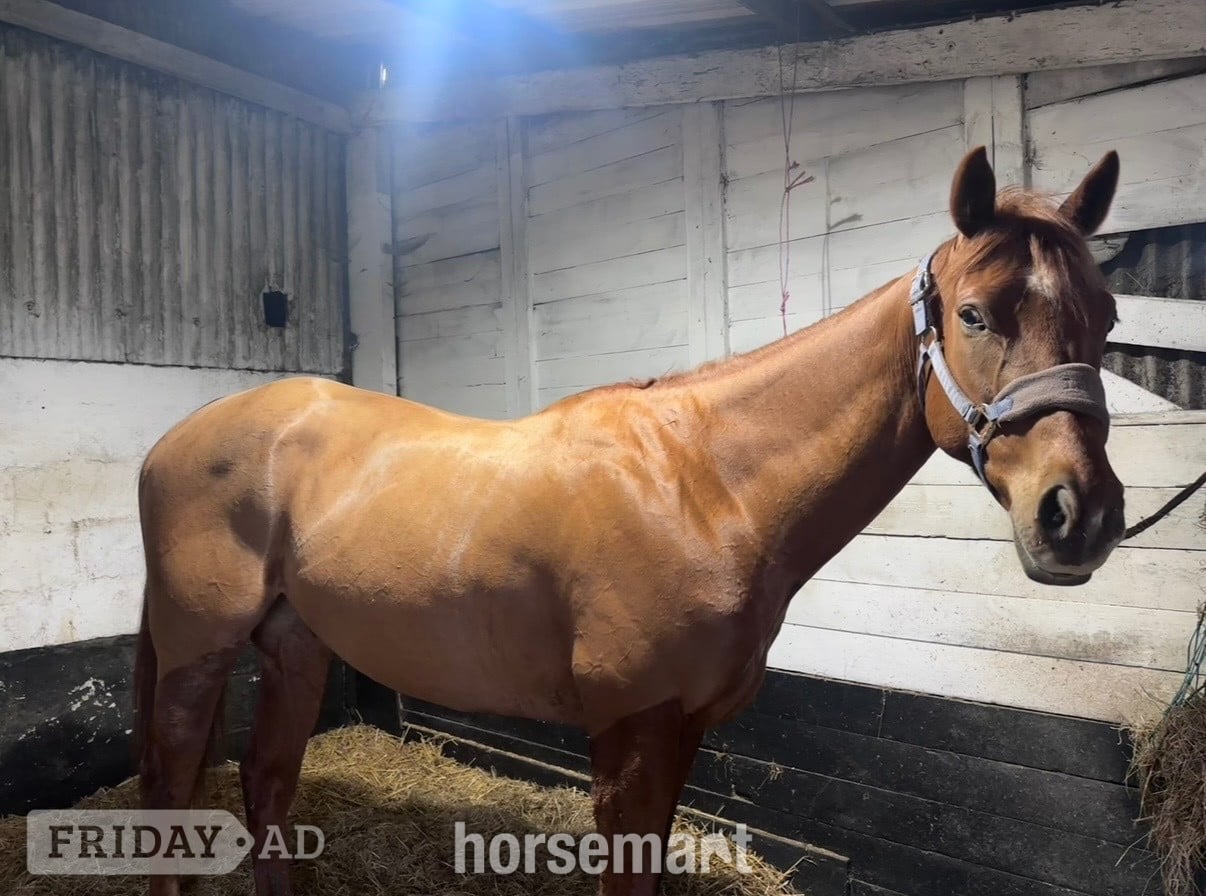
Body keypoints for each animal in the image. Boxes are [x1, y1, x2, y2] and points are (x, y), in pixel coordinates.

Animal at [132, 145, 1126, 896]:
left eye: (1108, 315)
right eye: (973, 315)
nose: (1078, 516)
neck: (704, 489)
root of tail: (172, 440)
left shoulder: (681, 728)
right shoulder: (629, 733)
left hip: (294, 645)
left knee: (265, 786)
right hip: (198, 651)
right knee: (172, 793)